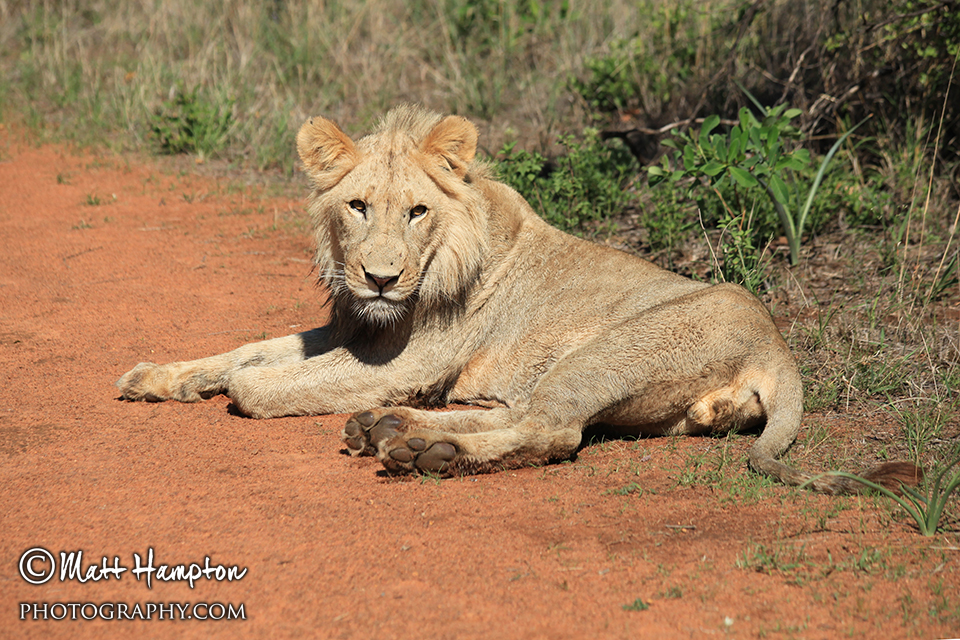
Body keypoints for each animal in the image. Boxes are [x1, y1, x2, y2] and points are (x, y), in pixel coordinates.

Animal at [117, 105, 917, 493]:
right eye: (357, 207)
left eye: (416, 212)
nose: (380, 279)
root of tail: (780, 344)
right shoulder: (356, 331)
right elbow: (245, 351)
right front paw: (157, 377)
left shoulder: (405, 361)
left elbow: (256, 386)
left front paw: (233, 389)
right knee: (524, 414)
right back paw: (389, 429)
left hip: (603, 354)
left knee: (553, 431)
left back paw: (420, 451)